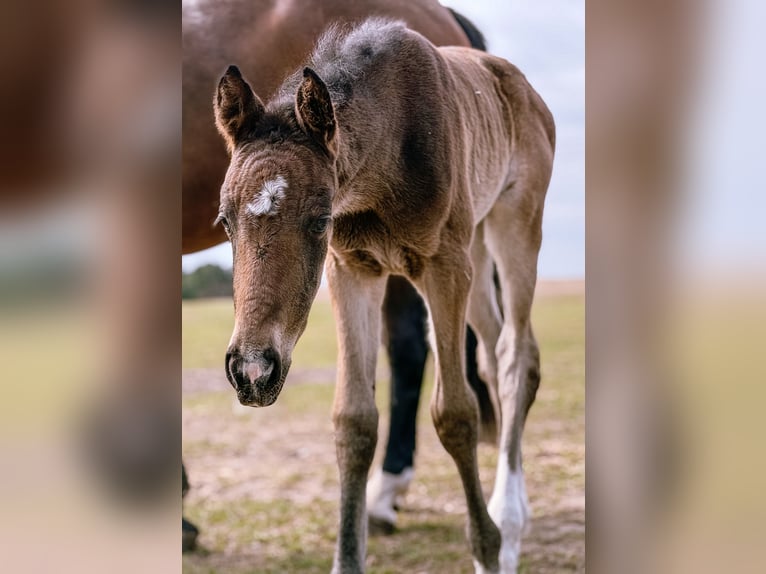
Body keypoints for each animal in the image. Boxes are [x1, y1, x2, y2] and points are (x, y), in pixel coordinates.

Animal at [213, 18, 555, 573]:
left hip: (515, 223)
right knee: (492, 351)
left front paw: (486, 548)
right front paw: (348, 559)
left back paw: (509, 522)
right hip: (477, 245)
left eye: (319, 220)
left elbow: (455, 413)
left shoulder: (443, 265)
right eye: (225, 220)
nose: (252, 371)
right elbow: (353, 421)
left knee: (516, 354)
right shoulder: (353, 270)